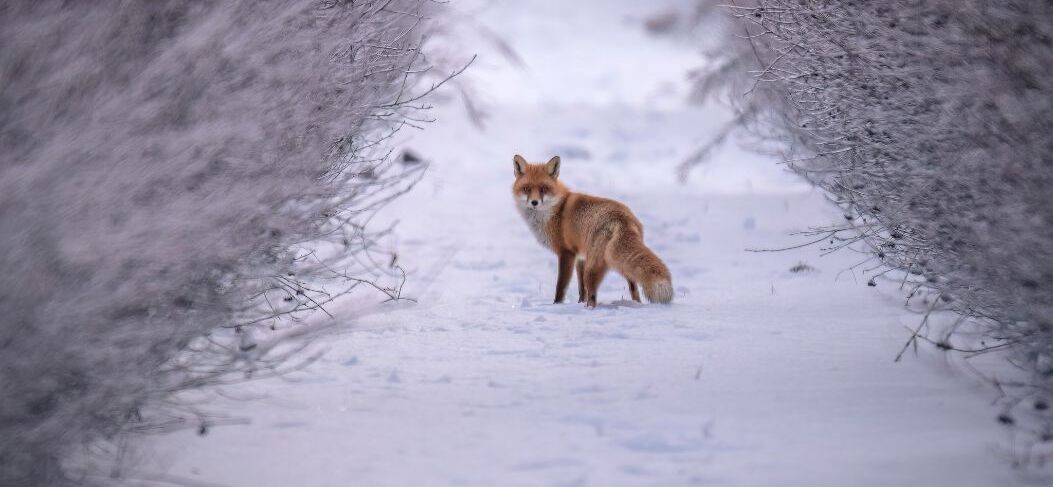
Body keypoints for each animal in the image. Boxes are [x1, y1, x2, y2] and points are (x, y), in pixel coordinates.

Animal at [511, 153, 673, 305]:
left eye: (544, 189)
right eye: (526, 188)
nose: (534, 202)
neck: (555, 210)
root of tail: (624, 218)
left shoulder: (566, 253)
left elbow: (561, 287)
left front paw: (556, 305)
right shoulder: (580, 257)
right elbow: (581, 289)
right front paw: (579, 303)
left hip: (593, 266)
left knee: (593, 295)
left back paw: (589, 309)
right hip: (618, 263)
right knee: (634, 290)